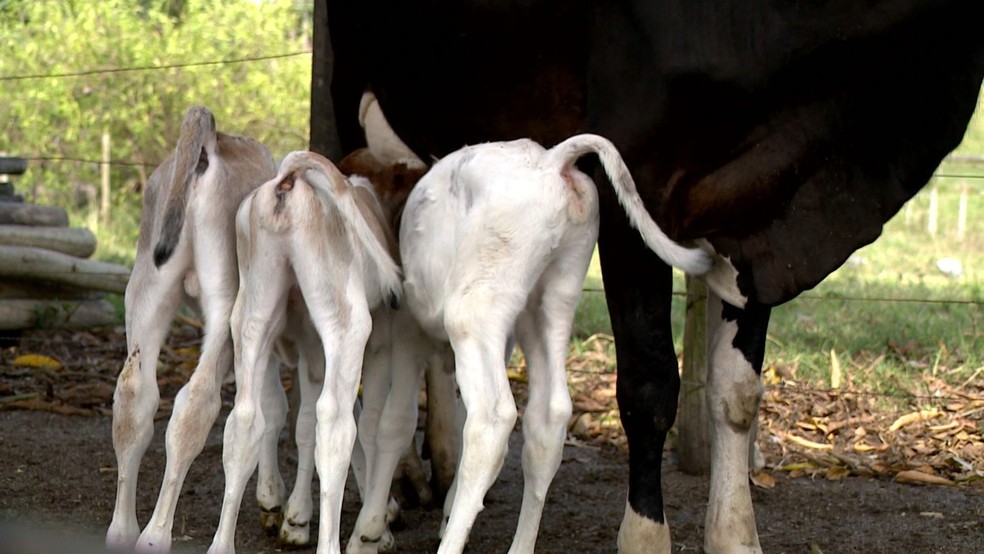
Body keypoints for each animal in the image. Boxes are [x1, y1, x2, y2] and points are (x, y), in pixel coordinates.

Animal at [318, 1, 984, 552]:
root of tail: (550, 159)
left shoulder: (753, 236)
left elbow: (736, 393)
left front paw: (734, 536)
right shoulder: (636, 200)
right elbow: (650, 385)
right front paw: (645, 536)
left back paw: (445, 475)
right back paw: (407, 486)